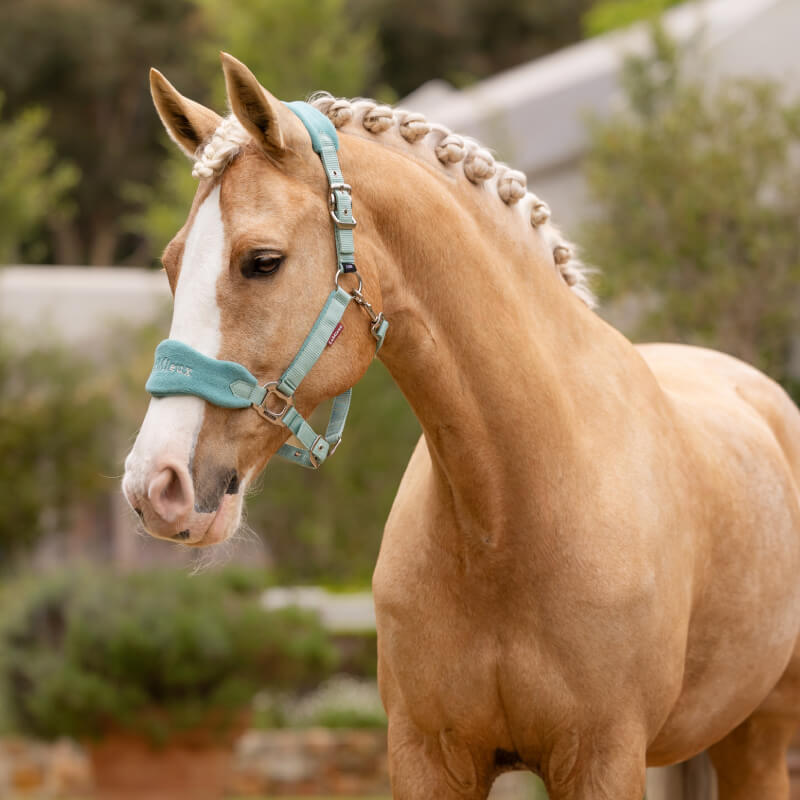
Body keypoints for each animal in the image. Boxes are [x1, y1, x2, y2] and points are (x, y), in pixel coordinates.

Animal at [122, 53, 800, 799]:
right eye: (171, 264)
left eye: (262, 261)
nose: (156, 485)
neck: (507, 520)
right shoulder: (427, 756)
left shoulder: (604, 759)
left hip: (760, 738)